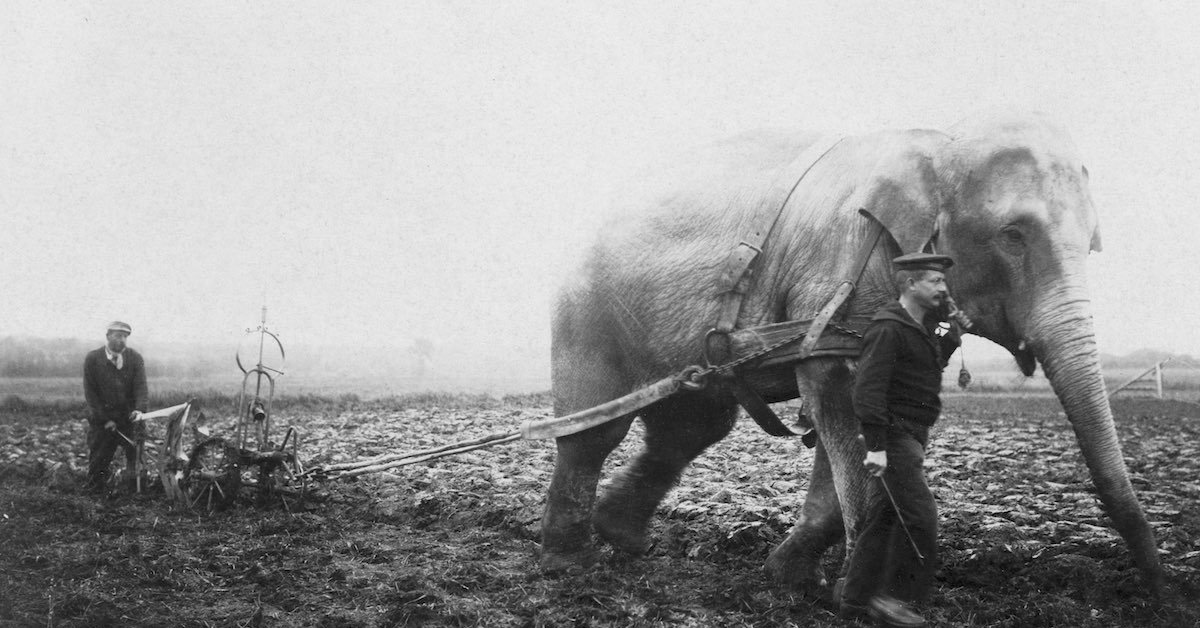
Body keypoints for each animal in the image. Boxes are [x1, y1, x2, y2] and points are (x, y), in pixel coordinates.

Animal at [542, 110, 1161, 597]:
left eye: (1092, 245)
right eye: (1013, 235)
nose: (1157, 590)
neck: (940, 142)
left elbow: (877, 410)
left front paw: (791, 578)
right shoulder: (835, 281)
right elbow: (842, 398)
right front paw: (852, 592)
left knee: (691, 426)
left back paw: (623, 540)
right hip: (587, 313)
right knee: (595, 429)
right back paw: (570, 560)